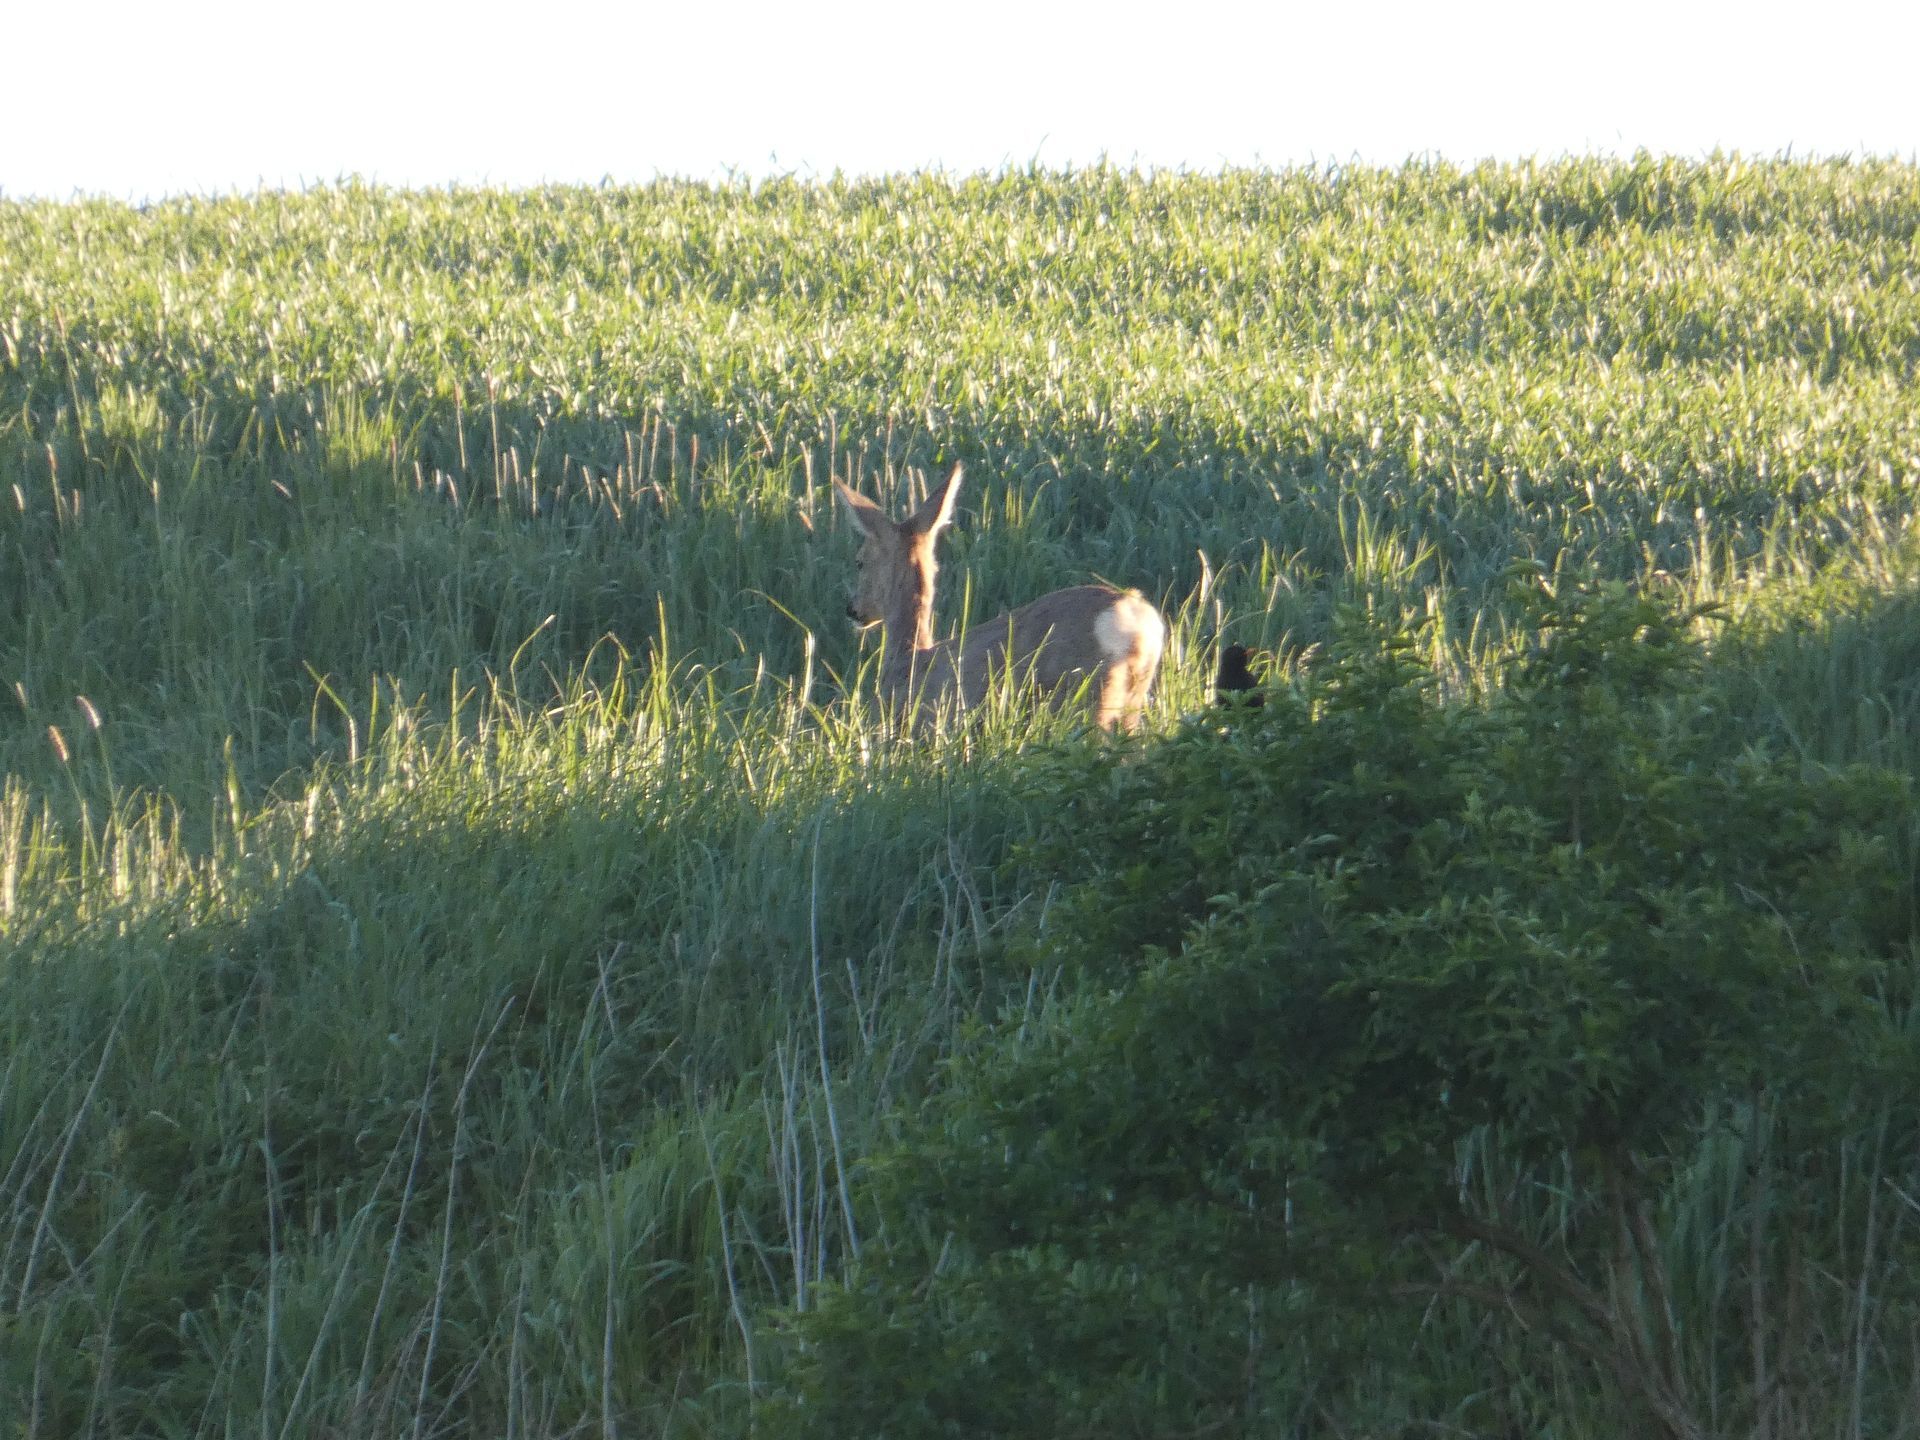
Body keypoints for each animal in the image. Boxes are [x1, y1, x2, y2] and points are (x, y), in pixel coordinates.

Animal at [831, 462, 1165, 734]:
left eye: (860, 561)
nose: (852, 609)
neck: (908, 656)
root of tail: (1135, 621)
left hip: (1084, 695)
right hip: (1131, 698)